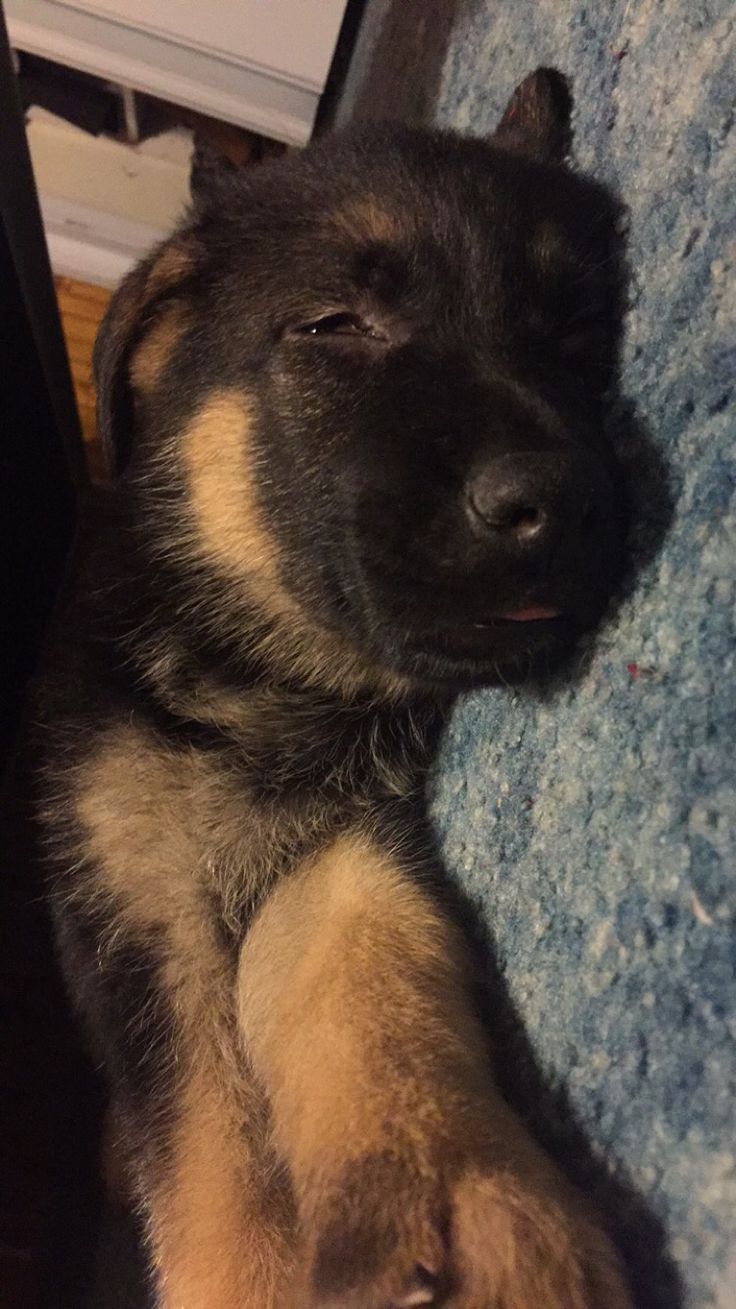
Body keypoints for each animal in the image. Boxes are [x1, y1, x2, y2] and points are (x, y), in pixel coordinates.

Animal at [35, 69, 631, 1309]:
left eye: (576, 331)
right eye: (331, 327)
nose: (561, 503)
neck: (264, 672)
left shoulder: (347, 831)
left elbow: (358, 970)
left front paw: (456, 1188)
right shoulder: (136, 901)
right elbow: (213, 1163)